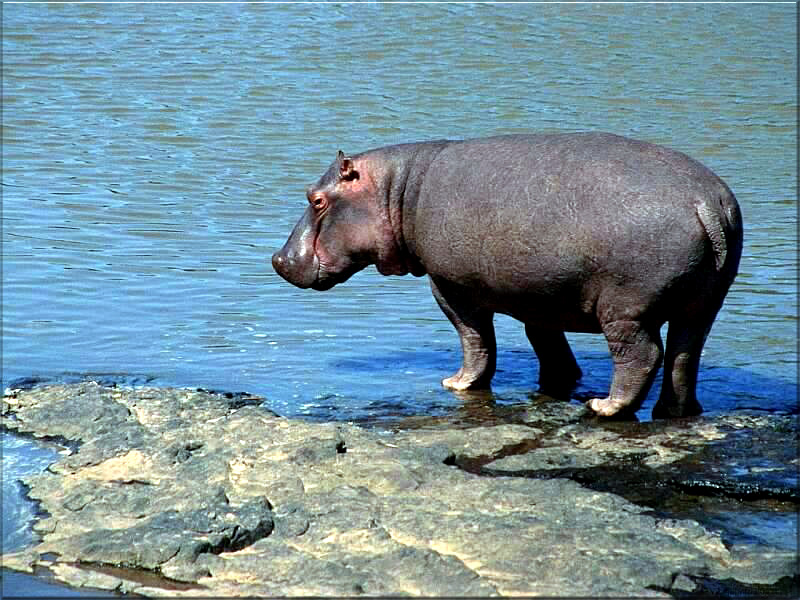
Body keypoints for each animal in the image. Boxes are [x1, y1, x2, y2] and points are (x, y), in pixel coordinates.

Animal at [272, 133, 743, 418]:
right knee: (685, 355)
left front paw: (456, 384)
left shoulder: (450, 285)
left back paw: (604, 406)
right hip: (703, 305)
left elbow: (474, 337)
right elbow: (545, 342)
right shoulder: (542, 296)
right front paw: (559, 380)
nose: (278, 260)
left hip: (626, 310)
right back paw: (674, 412)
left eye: (316, 199)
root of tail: (705, 202)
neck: (397, 190)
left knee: (642, 355)